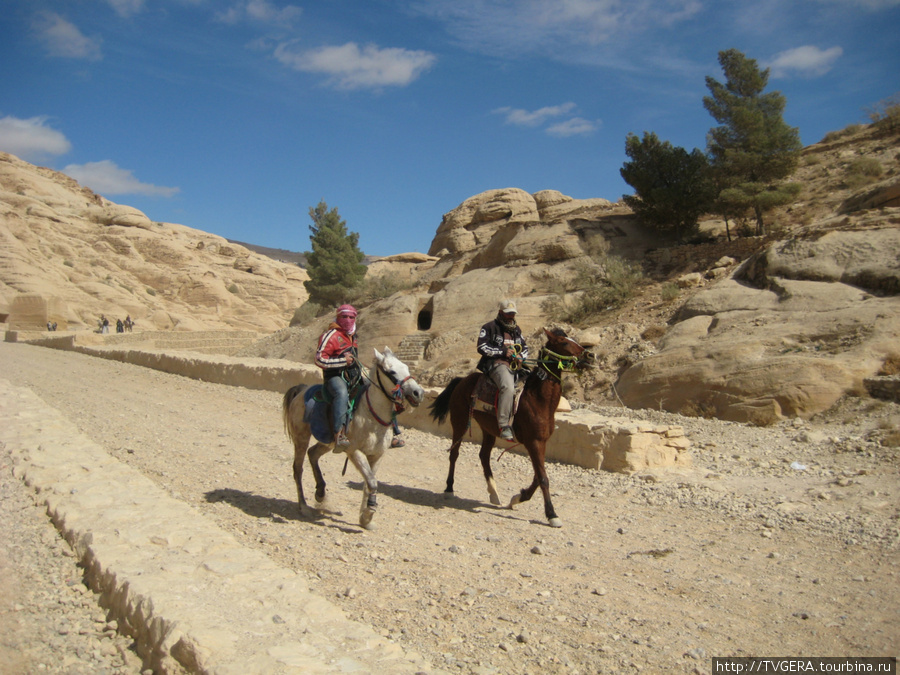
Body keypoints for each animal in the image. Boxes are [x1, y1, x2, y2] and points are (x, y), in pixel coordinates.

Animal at [282, 352, 426, 532]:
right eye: (391, 371)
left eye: (406, 367)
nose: (417, 393)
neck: (371, 416)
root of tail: (301, 390)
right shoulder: (355, 452)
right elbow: (371, 482)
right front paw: (368, 513)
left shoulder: (377, 455)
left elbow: (368, 483)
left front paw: (366, 520)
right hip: (301, 437)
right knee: (298, 468)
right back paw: (304, 507)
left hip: (329, 442)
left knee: (313, 453)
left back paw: (320, 492)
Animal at [428, 328, 592, 528]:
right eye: (564, 342)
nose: (590, 356)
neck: (537, 399)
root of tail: (461, 380)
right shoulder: (534, 442)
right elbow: (543, 478)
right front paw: (552, 514)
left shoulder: (541, 442)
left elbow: (538, 476)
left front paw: (518, 498)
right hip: (459, 422)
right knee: (454, 453)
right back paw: (449, 488)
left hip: (488, 429)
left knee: (483, 456)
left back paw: (494, 493)